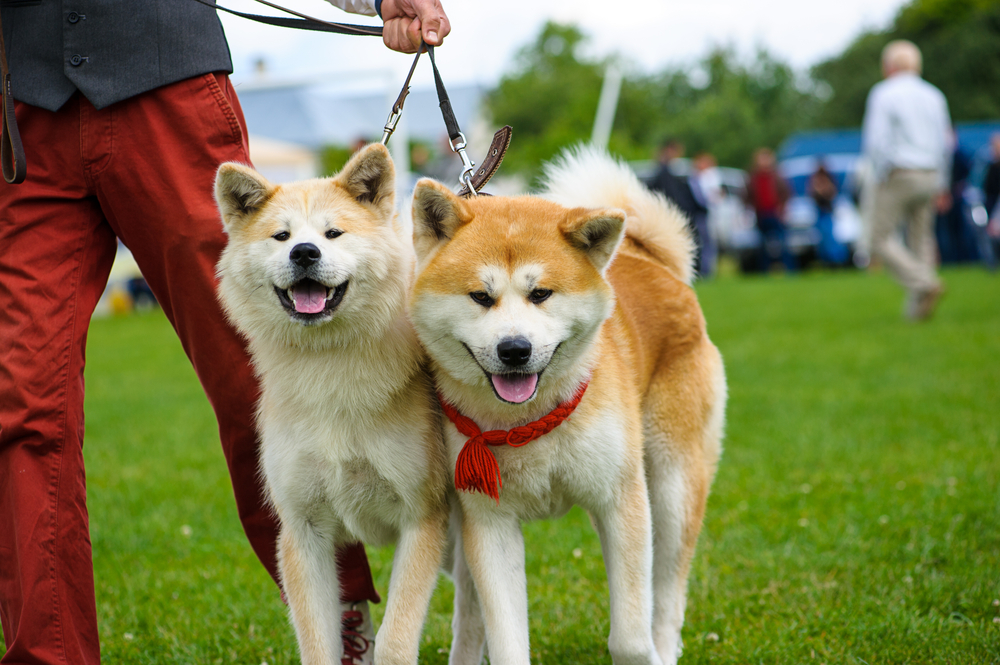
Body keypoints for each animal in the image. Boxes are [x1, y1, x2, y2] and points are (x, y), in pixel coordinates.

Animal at [217, 145, 448, 664]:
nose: (304, 252)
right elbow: (318, 642)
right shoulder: (302, 533)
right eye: (281, 236)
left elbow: (396, 640)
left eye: (333, 233)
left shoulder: (421, 518)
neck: (330, 368)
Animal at [406, 148, 728, 660]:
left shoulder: (621, 500)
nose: (514, 349)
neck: (529, 421)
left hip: (671, 486)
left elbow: (630, 637)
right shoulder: (488, 523)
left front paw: (641, 654)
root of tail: (649, 260)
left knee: (666, 593)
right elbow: (507, 638)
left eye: (541, 293)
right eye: (480, 296)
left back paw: (665, 648)